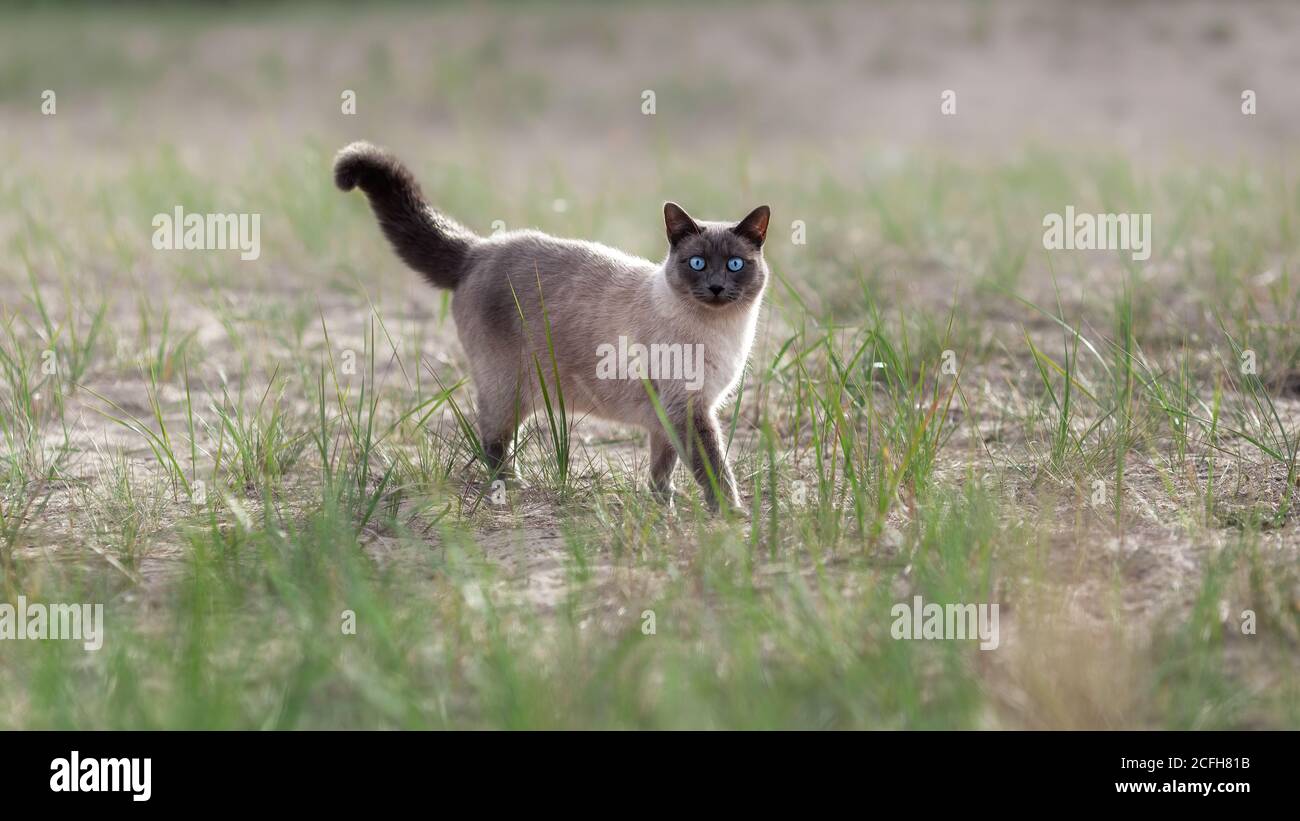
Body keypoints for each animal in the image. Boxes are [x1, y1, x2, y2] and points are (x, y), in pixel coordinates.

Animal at [330, 144, 769, 509]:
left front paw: (665, 505)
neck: (723, 331)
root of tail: (477, 250)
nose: (716, 287)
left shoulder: (672, 415)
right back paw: (511, 485)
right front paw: (731, 514)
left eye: (735, 264)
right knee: (491, 439)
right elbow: (713, 468)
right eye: (697, 263)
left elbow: (664, 467)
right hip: (508, 388)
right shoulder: (690, 408)